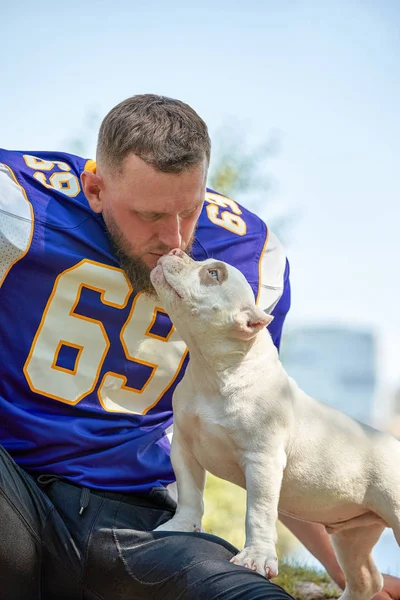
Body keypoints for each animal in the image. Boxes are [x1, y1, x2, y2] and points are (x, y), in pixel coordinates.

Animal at [150, 248, 400, 600]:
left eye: (214, 273)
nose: (175, 250)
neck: (215, 371)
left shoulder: (262, 461)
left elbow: (258, 512)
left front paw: (255, 558)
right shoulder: (184, 447)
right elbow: (189, 492)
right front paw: (180, 527)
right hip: (353, 532)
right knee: (367, 579)